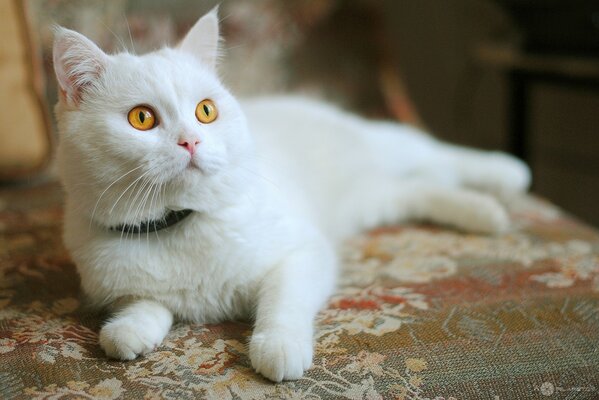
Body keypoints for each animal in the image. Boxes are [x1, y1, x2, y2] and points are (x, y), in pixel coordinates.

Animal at [51, 7, 528, 382]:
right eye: (142, 118)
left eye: (206, 111)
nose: (191, 141)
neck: (181, 222)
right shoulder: (122, 286)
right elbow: (145, 306)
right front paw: (127, 332)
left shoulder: (303, 252)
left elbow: (283, 300)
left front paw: (277, 348)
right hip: (374, 198)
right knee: (423, 186)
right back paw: (485, 212)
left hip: (387, 146)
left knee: (437, 153)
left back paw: (506, 176)